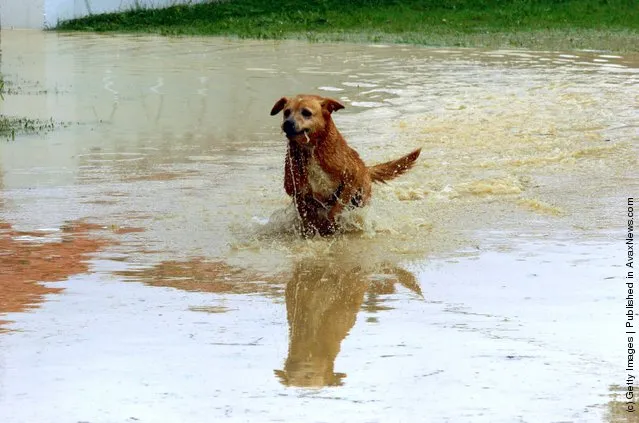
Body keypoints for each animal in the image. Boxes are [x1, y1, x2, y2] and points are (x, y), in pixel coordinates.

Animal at [270, 94, 420, 237]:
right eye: (286, 112)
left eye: (306, 112)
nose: (287, 123)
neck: (312, 150)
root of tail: (365, 168)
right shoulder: (297, 191)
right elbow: (307, 215)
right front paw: (312, 228)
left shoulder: (350, 180)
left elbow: (336, 208)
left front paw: (329, 224)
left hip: (362, 195)